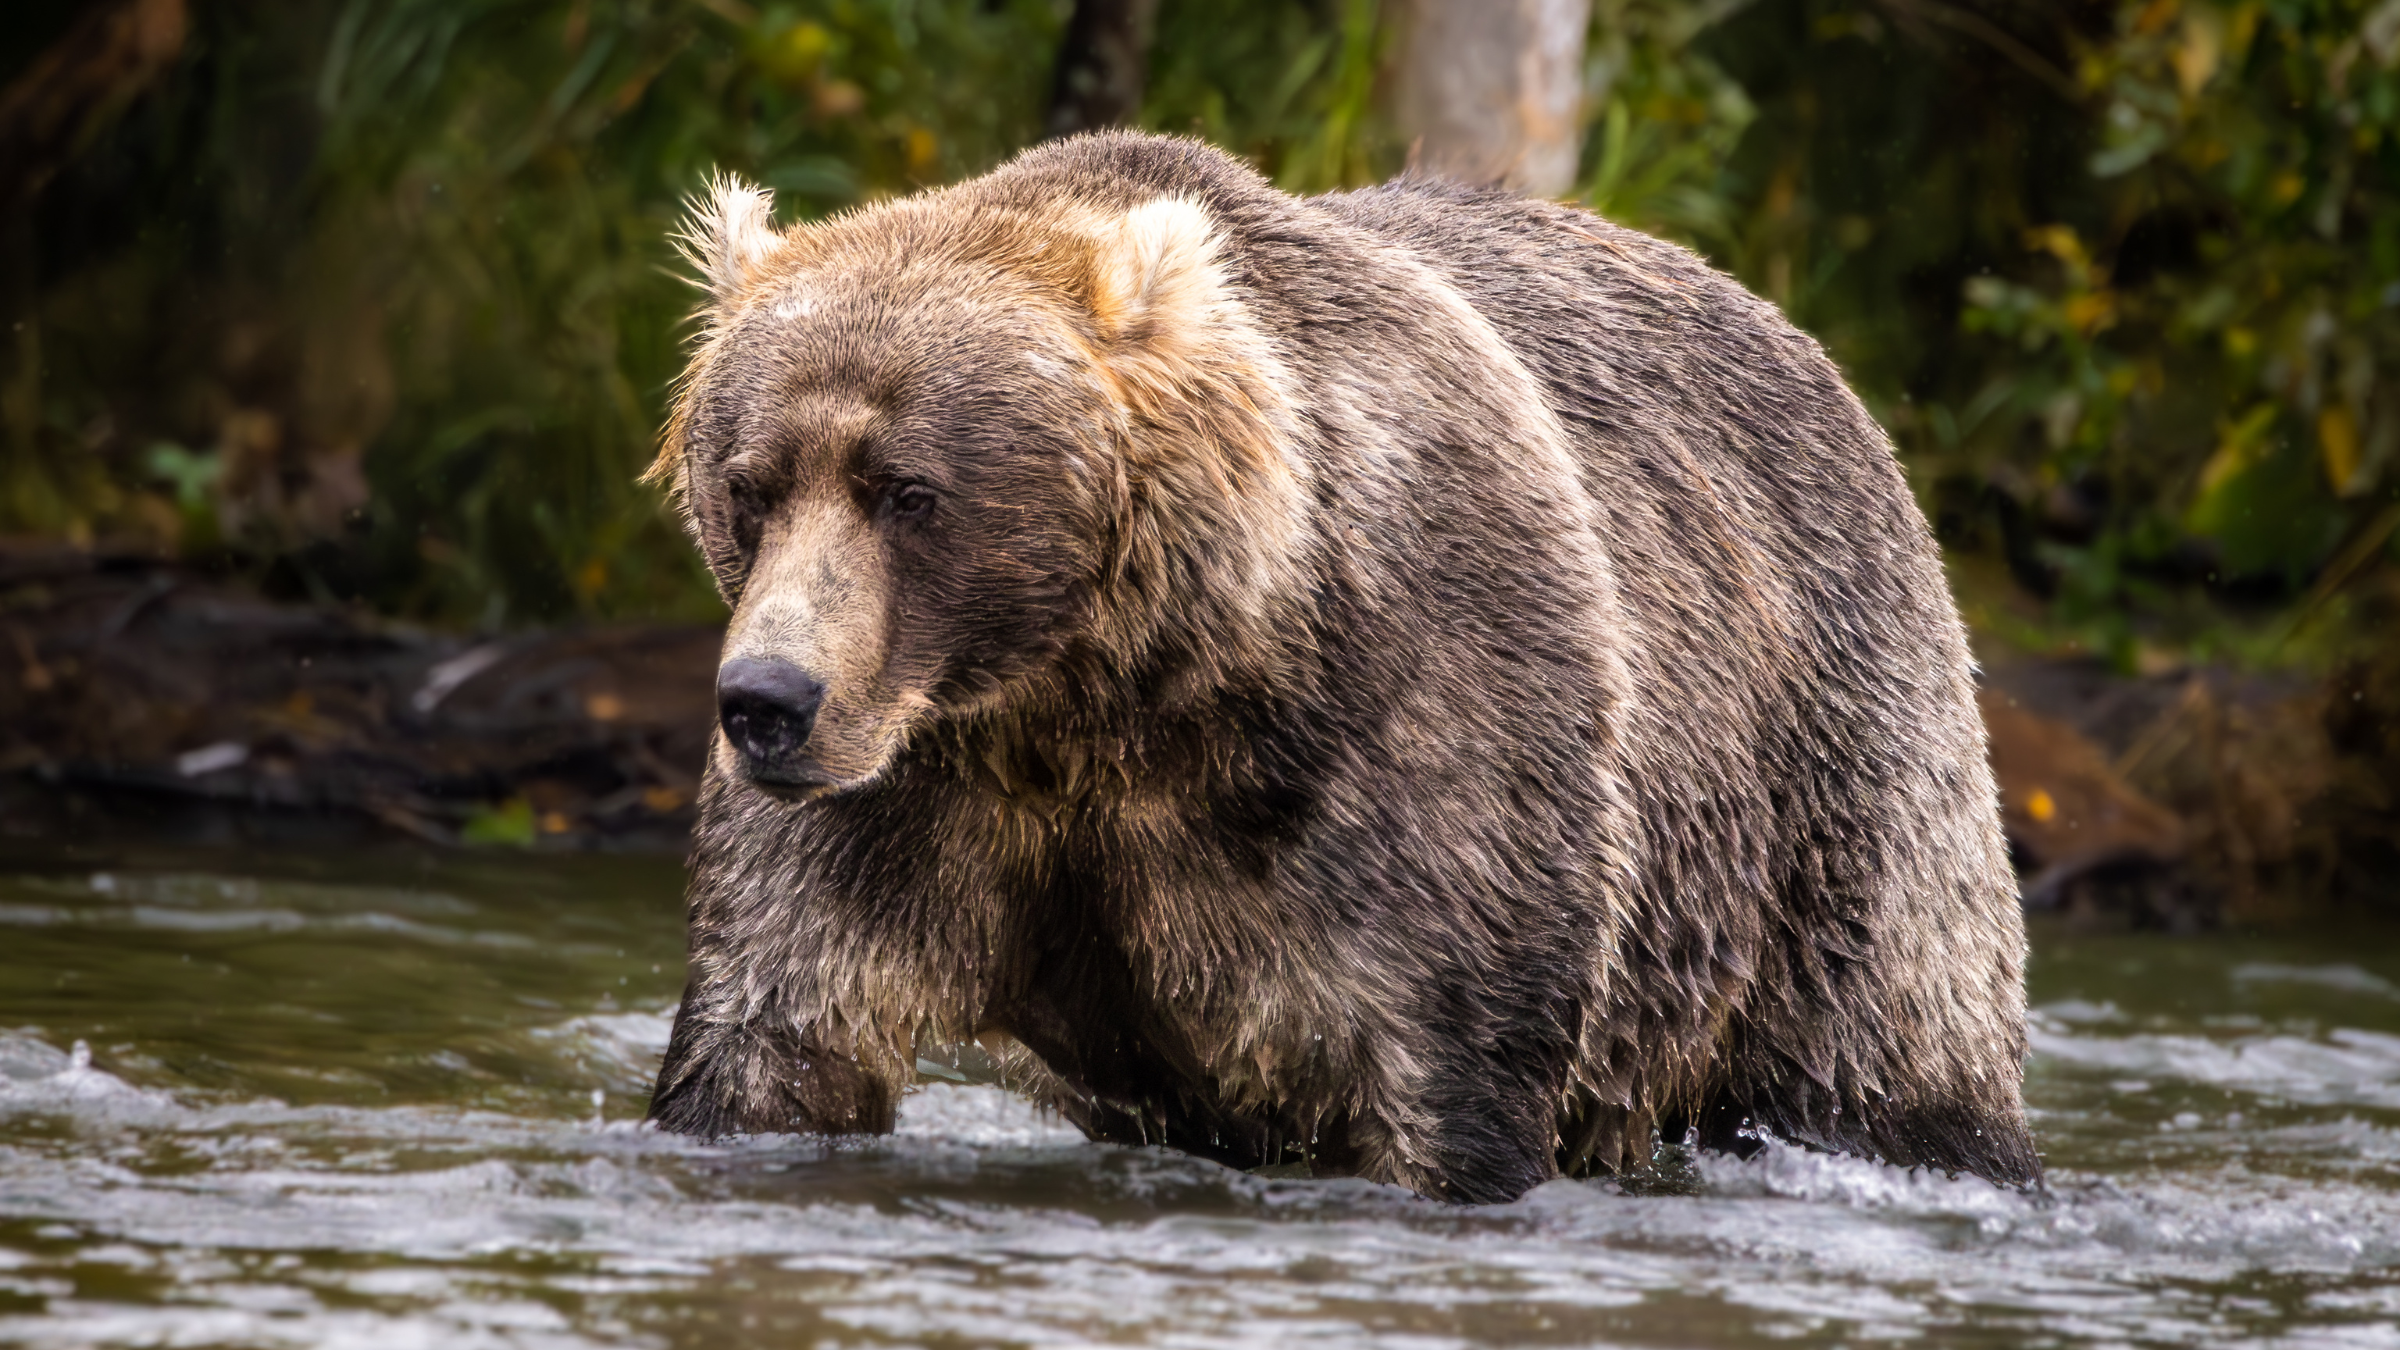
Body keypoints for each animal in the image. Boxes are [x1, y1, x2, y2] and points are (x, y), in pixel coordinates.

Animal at [642, 131, 2040, 1204]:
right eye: (751, 484)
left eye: (909, 491)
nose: (767, 701)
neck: (1110, 698)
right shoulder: (913, 798)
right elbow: (777, 1030)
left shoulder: (1416, 737)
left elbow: (1452, 1059)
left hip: (1833, 759)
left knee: (1887, 1048)